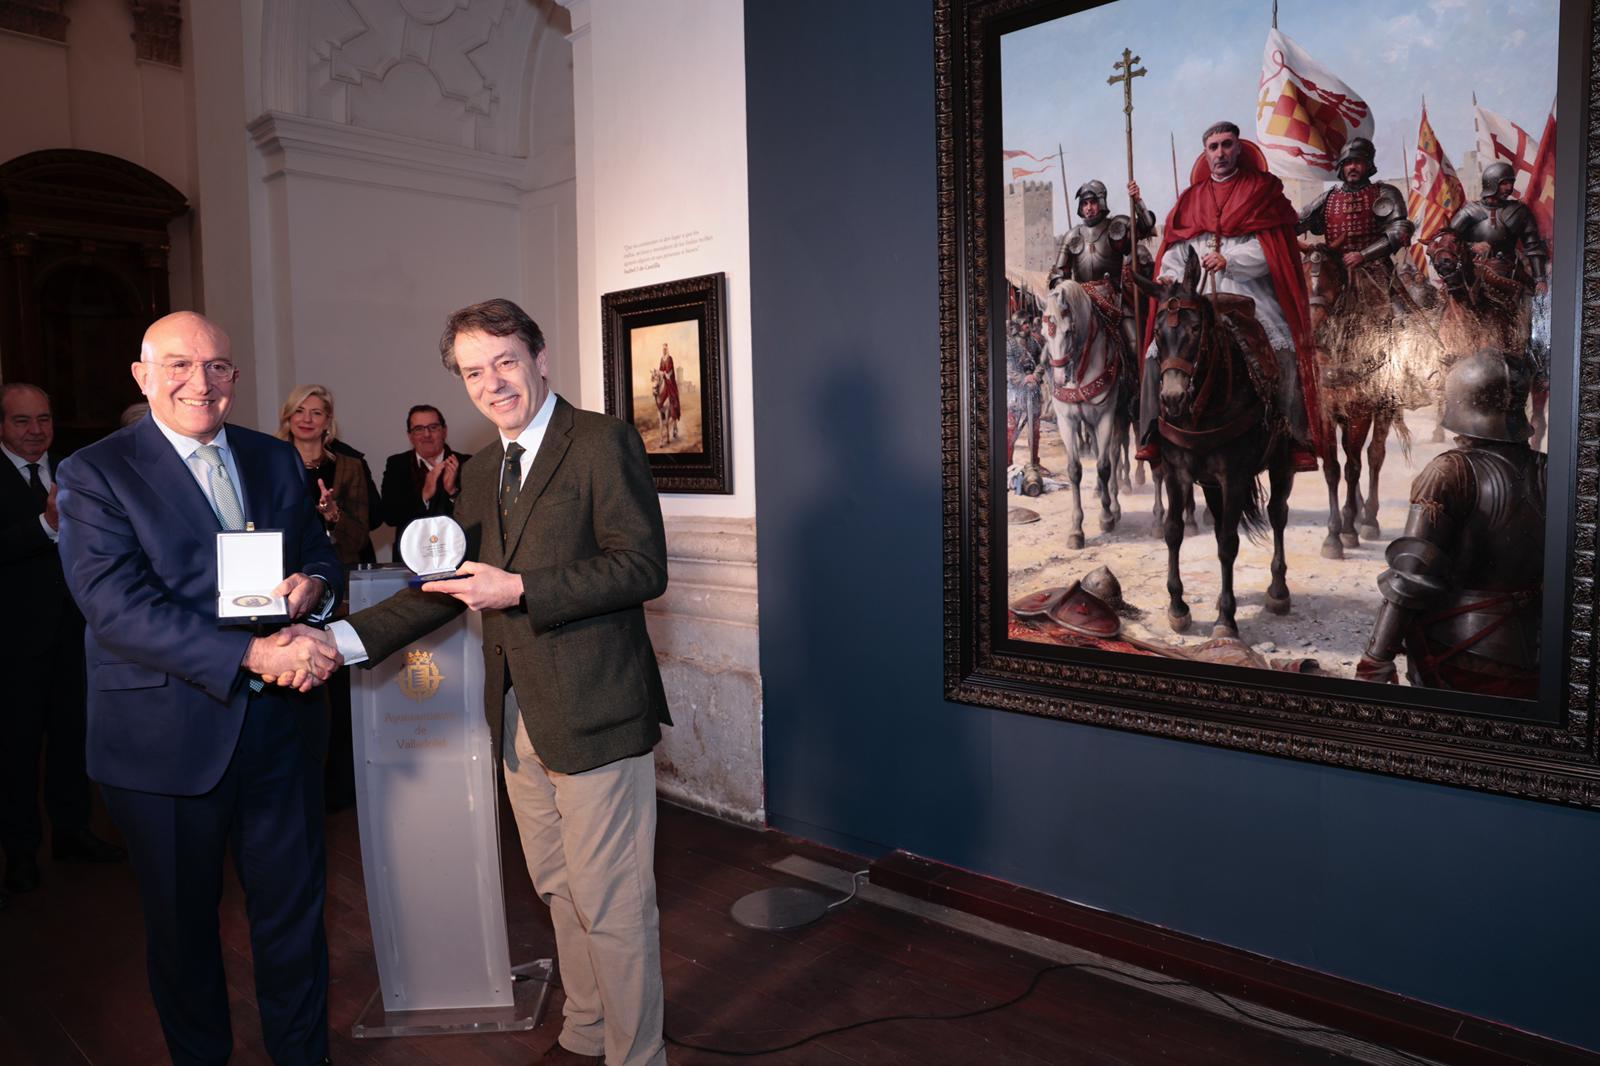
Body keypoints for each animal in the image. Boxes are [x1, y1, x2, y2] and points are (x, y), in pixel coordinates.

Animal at [1039, 279, 1127, 549]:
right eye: (1044, 333)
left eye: (1069, 331)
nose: (1059, 379)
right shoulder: (1067, 422)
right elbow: (1074, 471)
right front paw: (1076, 530)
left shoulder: (1106, 417)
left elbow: (1105, 465)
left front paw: (1106, 517)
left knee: (1113, 455)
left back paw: (1115, 506)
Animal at [1131, 248, 1294, 637]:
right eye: (1157, 332)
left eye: (1195, 330)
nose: (1172, 399)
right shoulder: (1177, 473)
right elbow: (1174, 532)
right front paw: (1178, 606)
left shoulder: (1234, 477)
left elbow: (1228, 544)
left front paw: (1226, 619)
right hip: (1209, 483)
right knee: (1222, 523)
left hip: (1282, 461)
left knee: (1277, 513)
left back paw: (1278, 590)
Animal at [1299, 239, 1409, 558]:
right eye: (1301, 277)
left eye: (1330, 280)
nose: (1309, 325)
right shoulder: (1324, 414)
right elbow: (1333, 470)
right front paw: (1333, 535)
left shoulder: (1359, 413)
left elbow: (1353, 467)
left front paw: (1347, 531)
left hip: (1383, 409)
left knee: (1373, 456)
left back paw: (1368, 518)